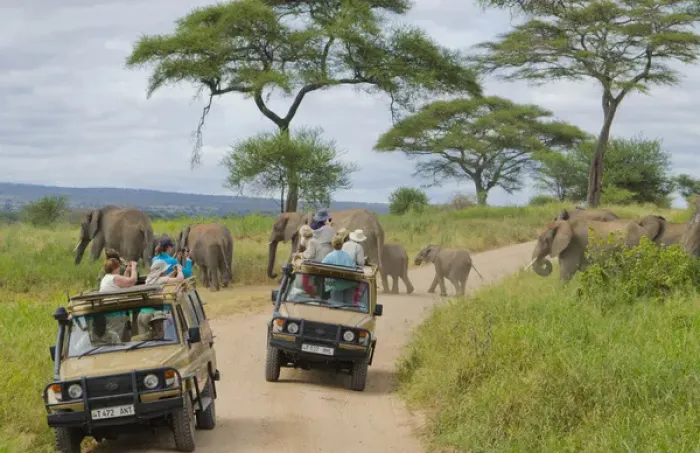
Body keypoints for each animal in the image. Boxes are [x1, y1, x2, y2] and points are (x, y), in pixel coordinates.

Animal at [530, 215, 667, 281]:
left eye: (540, 239)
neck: (565, 223)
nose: (544, 261)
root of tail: (645, 232)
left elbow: (567, 272)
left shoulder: (572, 247)